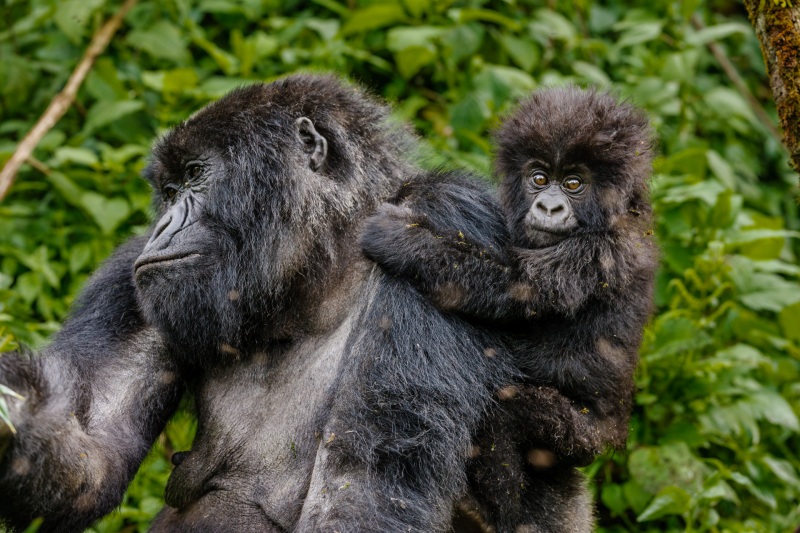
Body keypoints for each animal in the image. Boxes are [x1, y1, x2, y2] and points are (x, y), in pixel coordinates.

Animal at [0, 76, 588, 532]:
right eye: (167, 191)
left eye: (195, 177)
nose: (163, 226)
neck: (324, 273)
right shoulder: (134, 278)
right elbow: (91, 457)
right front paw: (22, 418)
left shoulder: (448, 221)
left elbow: (362, 495)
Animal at [362, 86, 656, 528]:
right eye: (539, 179)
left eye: (574, 183)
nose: (549, 208)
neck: (620, 212)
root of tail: (618, 432)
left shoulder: (598, 252)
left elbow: (518, 288)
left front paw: (402, 239)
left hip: (585, 439)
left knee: (508, 414)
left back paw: (496, 511)